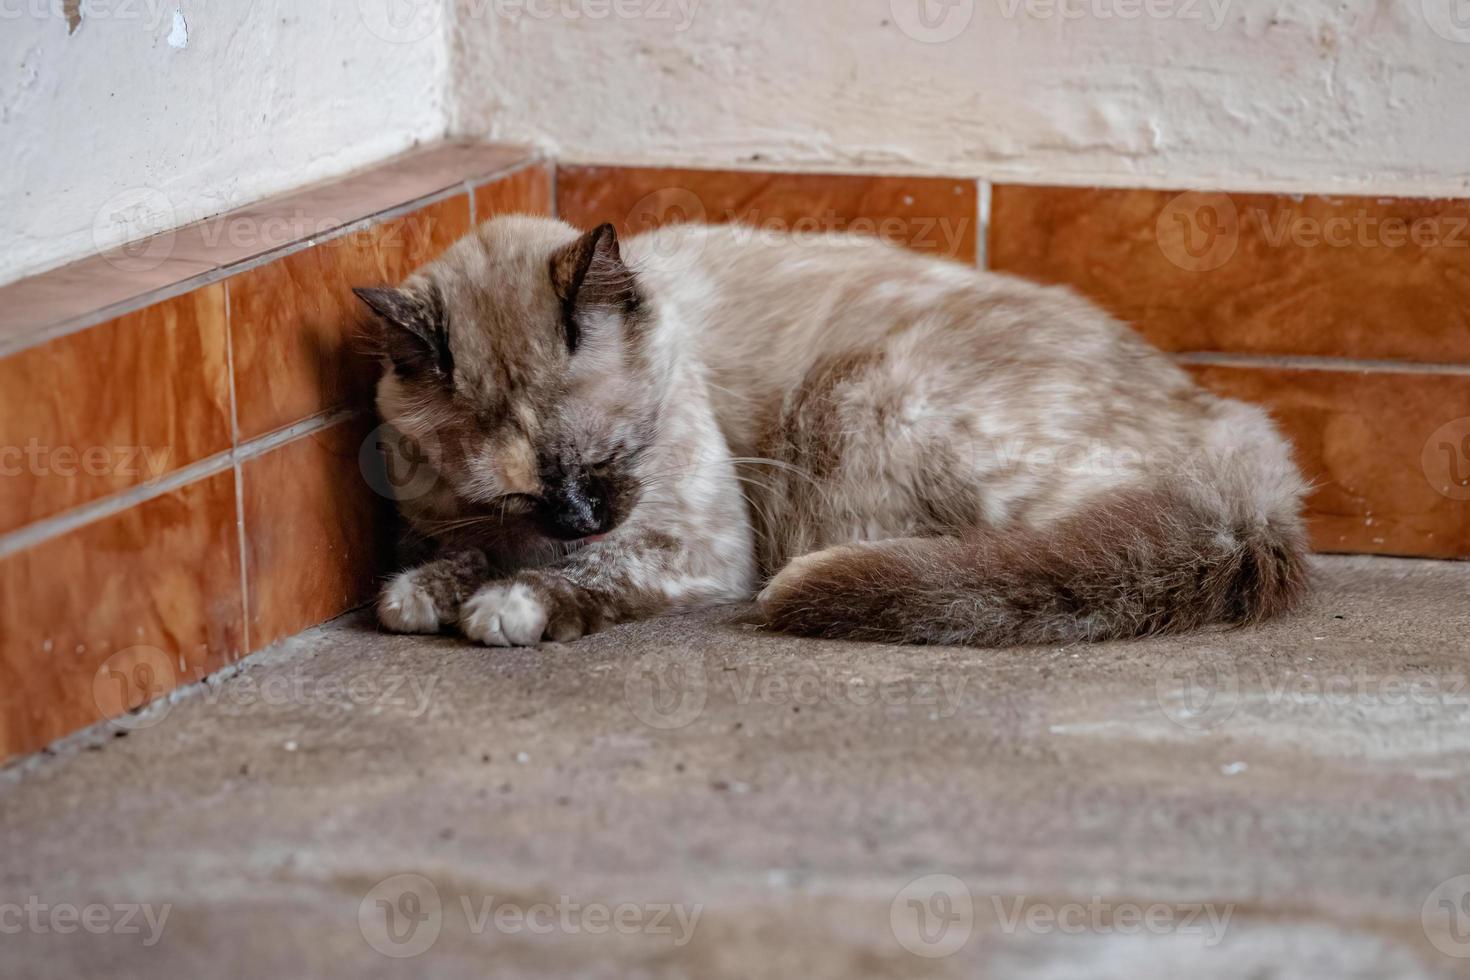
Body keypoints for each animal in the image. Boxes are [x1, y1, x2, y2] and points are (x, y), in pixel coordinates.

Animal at [355, 217, 1311, 646]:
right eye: (521, 490)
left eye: (612, 455)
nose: (579, 520)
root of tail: (1235, 433)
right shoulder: (474, 522)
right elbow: (457, 558)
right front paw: (429, 591)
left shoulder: (697, 552)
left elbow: (590, 577)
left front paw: (507, 607)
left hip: (866, 407)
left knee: (1025, 560)